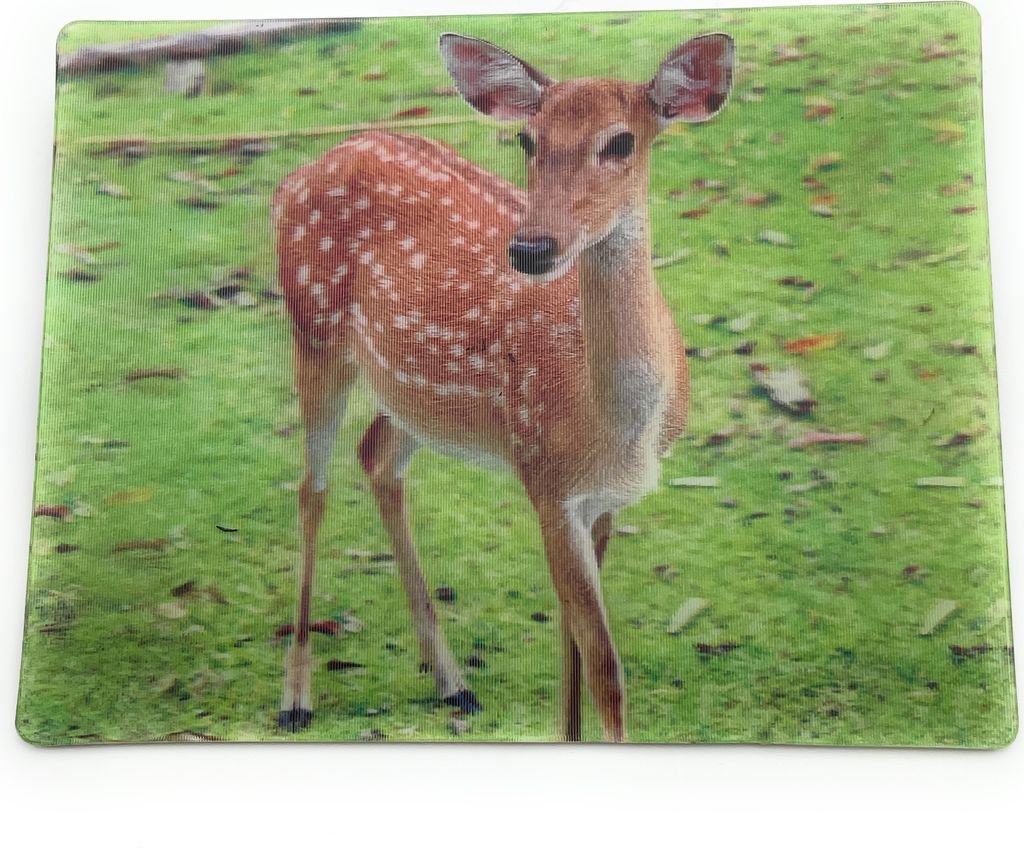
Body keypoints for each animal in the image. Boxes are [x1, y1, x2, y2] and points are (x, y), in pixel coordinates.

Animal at [273, 31, 734, 742]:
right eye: (527, 139)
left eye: (622, 141)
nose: (531, 248)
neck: (619, 428)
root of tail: (300, 170)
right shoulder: (544, 478)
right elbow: (607, 673)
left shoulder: (604, 499)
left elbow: (575, 653)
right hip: (312, 329)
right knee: (311, 488)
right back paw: (297, 695)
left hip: (410, 395)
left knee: (376, 454)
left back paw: (451, 681)